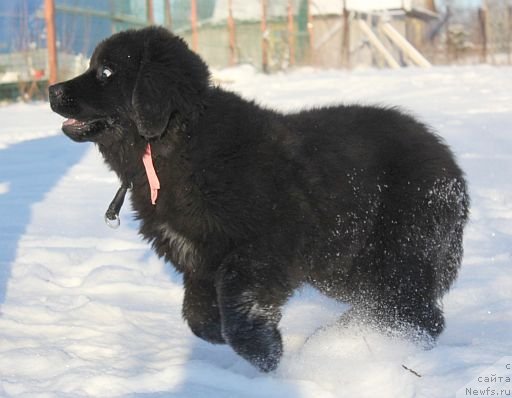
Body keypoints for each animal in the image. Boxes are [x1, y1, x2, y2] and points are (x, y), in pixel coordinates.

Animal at [50, 26, 470, 372]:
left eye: (106, 72)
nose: (53, 90)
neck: (175, 140)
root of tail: (449, 160)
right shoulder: (199, 261)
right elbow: (196, 314)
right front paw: (225, 335)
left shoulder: (262, 247)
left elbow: (238, 299)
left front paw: (262, 350)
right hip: (343, 264)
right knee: (392, 307)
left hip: (397, 248)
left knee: (416, 312)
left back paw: (346, 344)